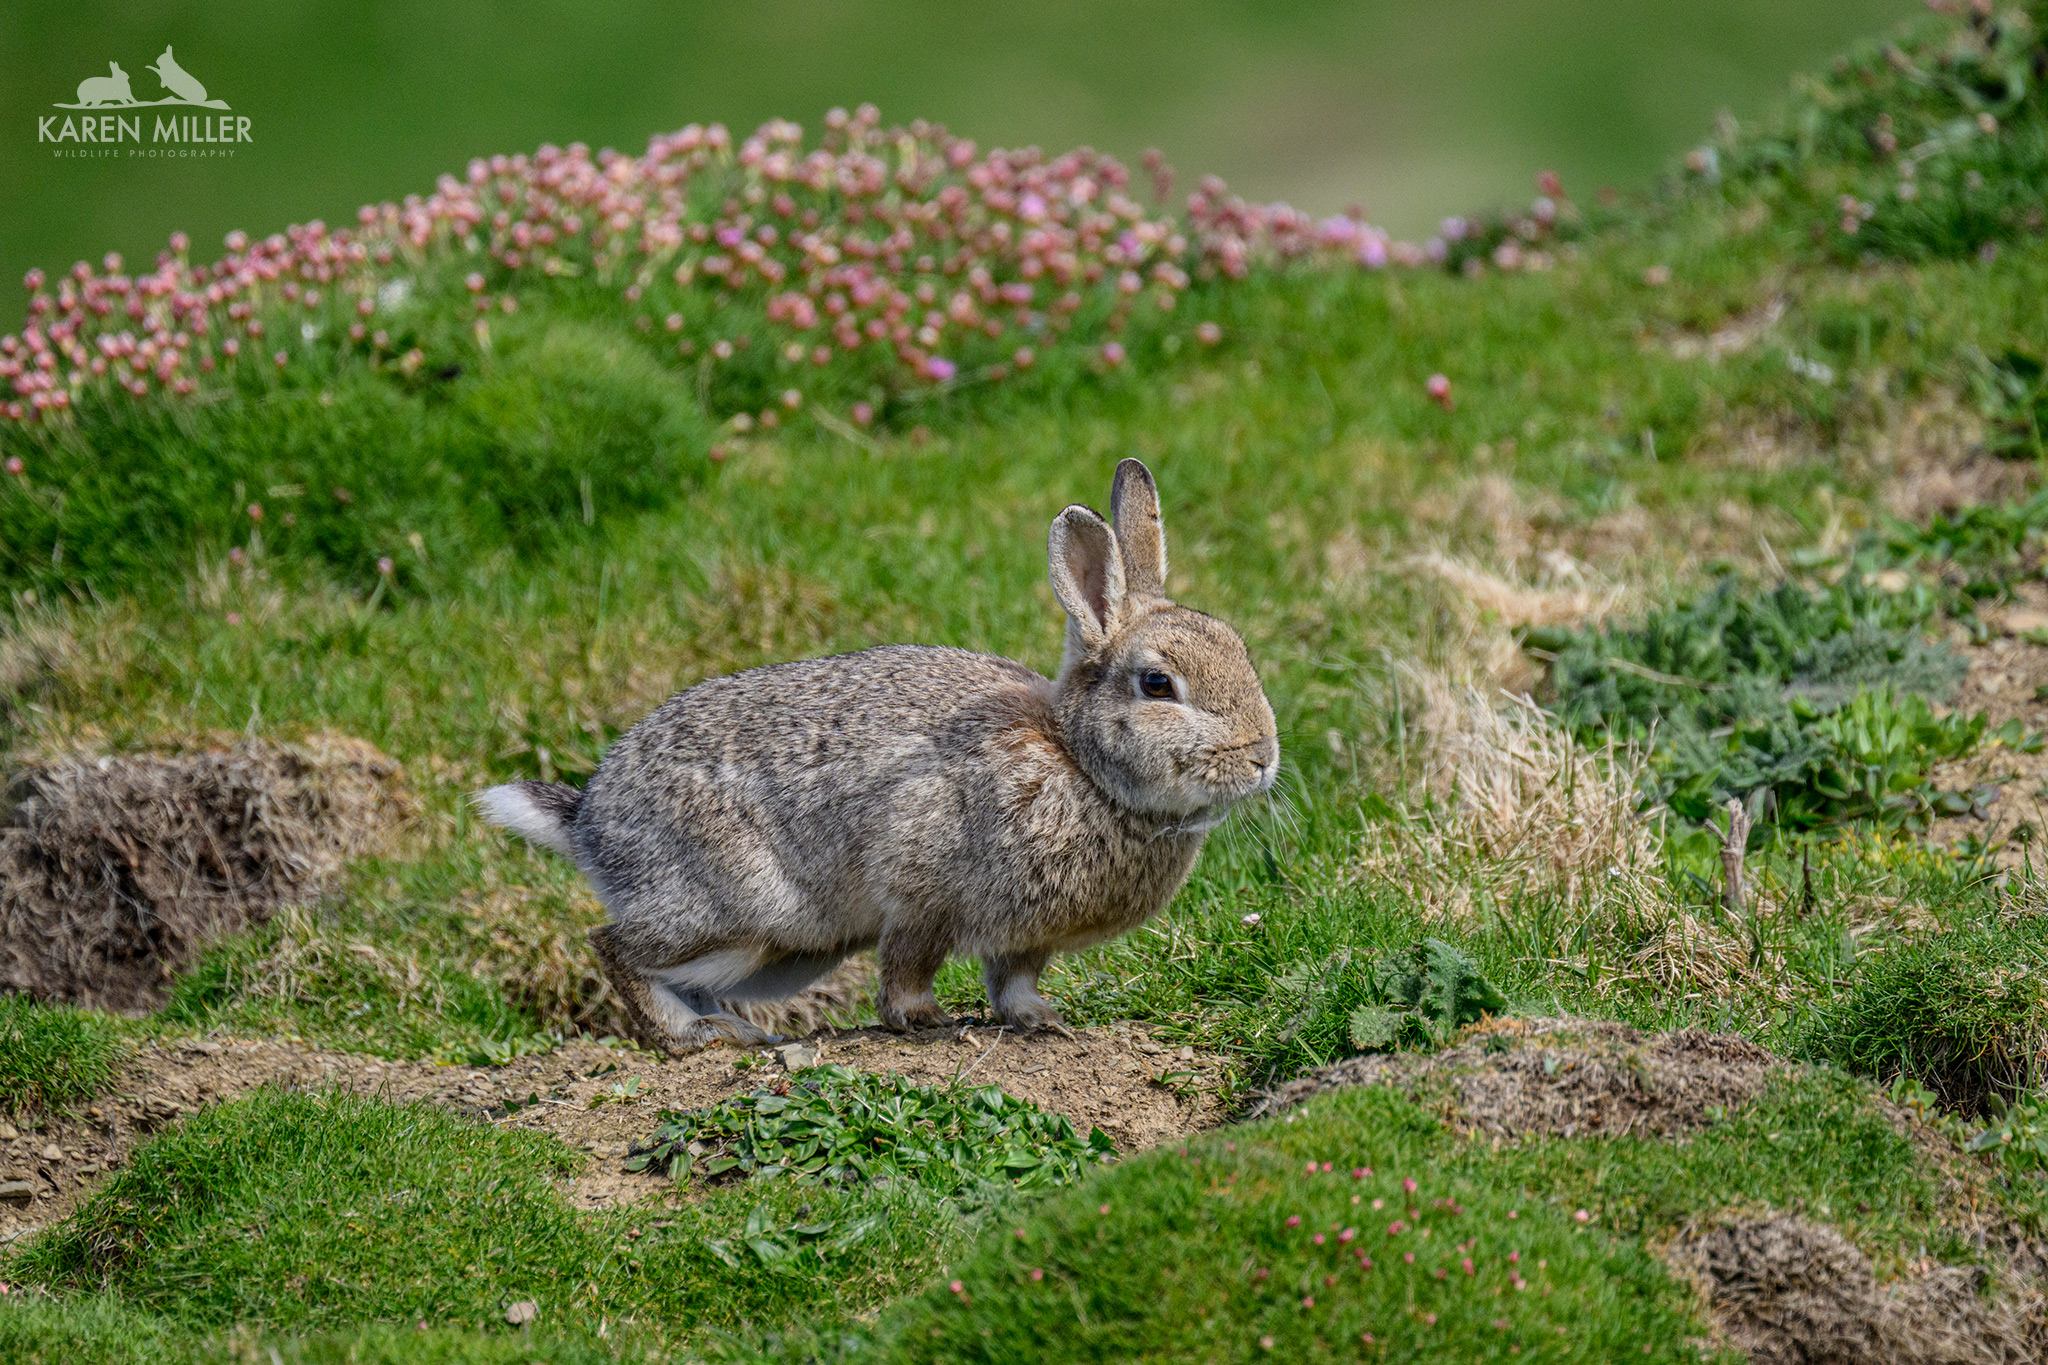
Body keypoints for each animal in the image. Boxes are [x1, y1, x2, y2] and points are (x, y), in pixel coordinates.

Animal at [474, 459, 1279, 1052]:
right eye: (1157, 684)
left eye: (1240, 649)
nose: (1264, 757)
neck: (1077, 762)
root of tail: (589, 823)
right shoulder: (922, 888)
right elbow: (908, 965)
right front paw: (922, 1020)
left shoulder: (1026, 936)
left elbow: (1014, 980)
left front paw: (1040, 1020)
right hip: (740, 905)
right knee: (614, 944)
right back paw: (692, 1037)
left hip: (786, 952)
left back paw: (734, 1030)